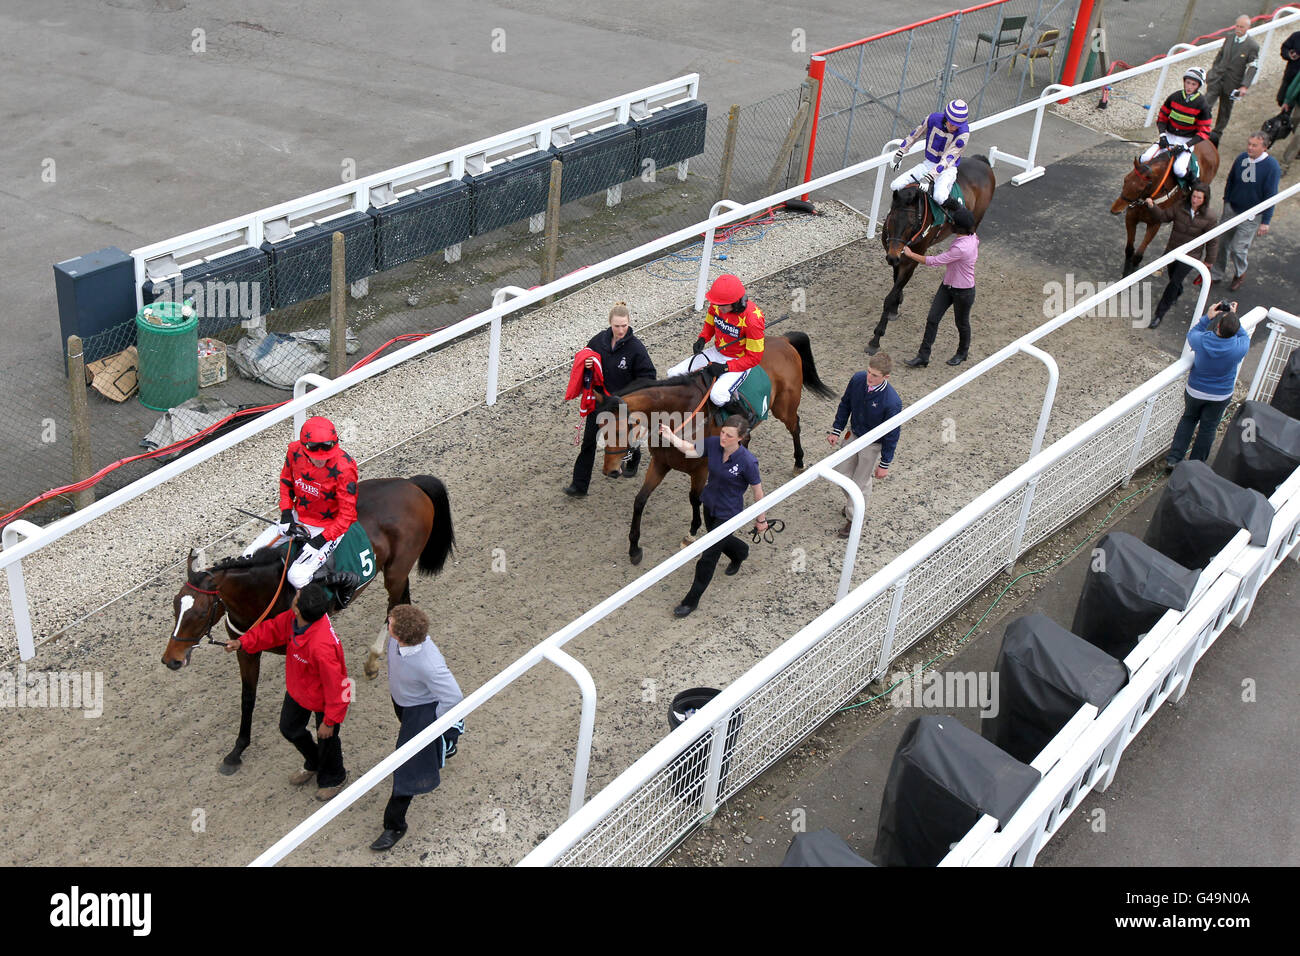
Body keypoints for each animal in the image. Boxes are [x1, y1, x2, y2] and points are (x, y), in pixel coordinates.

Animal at [162, 476, 452, 775]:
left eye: (199, 612)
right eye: (175, 606)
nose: (172, 659)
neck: (264, 591)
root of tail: (409, 483)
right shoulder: (246, 651)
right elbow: (247, 698)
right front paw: (237, 750)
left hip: (396, 570)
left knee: (393, 607)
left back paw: (374, 659)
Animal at [598, 330, 832, 564]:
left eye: (619, 430)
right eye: (599, 426)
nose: (610, 471)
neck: (680, 415)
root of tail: (782, 340)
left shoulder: (700, 469)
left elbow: (694, 498)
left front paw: (691, 533)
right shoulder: (660, 463)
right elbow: (640, 501)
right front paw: (634, 548)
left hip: (784, 408)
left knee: (795, 427)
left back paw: (799, 462)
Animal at [873, 155, 993, 353]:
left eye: (912, 224)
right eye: (891, 219)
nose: (892, 256)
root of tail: (982, 162)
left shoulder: (911, 260)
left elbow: (891, 295)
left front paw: (876, 338)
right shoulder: (896, 255)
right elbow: (896, 282)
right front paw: (896, 305)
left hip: (977, 220)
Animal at [1107, 141, 1216, 277]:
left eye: (1140, 188)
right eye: (1125, 179)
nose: (1114, 209)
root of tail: (1210, 144)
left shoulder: (1155, 224)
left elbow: (1138, 255)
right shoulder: (1131, 217)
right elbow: (1129, 250)